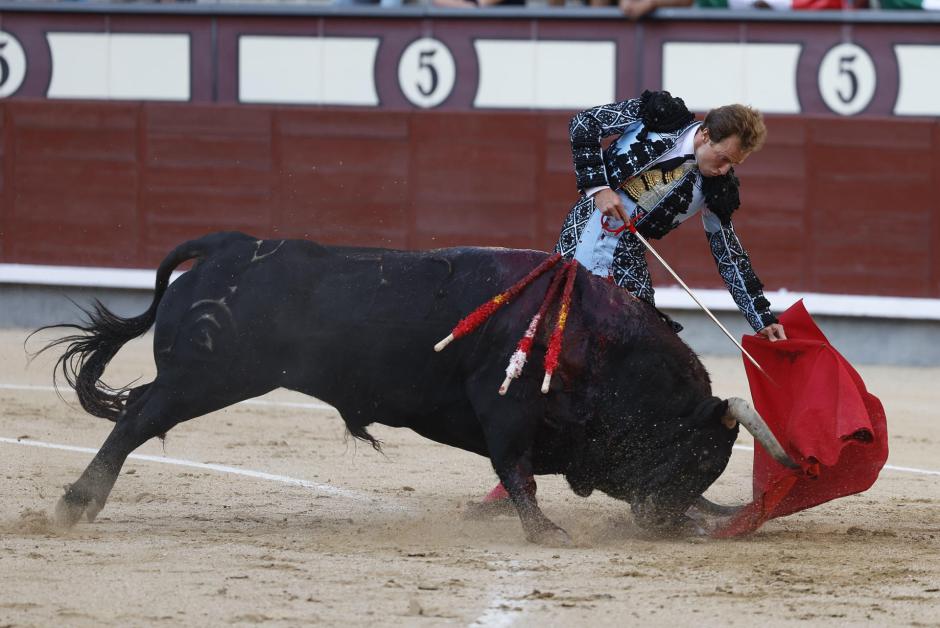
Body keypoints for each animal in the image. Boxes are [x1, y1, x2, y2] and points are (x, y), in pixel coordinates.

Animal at [42, 231, 784, 544]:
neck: (605, 348)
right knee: (137, 418)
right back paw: (75, 504)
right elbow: (516, 470)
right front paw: (545, 532)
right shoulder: (505, 408)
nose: (668, 522)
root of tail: (228, 246)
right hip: (205, 378)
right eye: (697, 455)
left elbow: (517, 472)